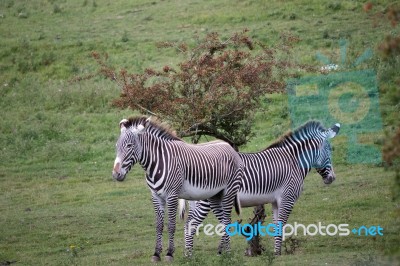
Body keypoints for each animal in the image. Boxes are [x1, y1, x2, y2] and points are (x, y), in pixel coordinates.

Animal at [112, 116, 244, 262]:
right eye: (117, 146)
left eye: (129, 146)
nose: (116, 174)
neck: (157, 163)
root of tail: (228, 145)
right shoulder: (156, 196)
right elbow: (159, 225)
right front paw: (156, 253)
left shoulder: (172, 195)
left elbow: (171, 225)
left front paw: (169, 253)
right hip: (215, 196)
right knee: (222, 220)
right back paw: (222, 251)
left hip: (229, 191)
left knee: (227, 220)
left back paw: (228, 252)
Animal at [181, 120, 340, 256]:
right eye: (330, 151)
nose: (332, 178)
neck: (293, 162)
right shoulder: (288, 198)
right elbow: (281, 223)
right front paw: (278, 253)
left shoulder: (276, 201)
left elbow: (276, 224)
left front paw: (277, 251)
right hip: (205, 200)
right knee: (191, 224)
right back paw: (190, 256)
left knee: (189, 224)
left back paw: (190, 253)